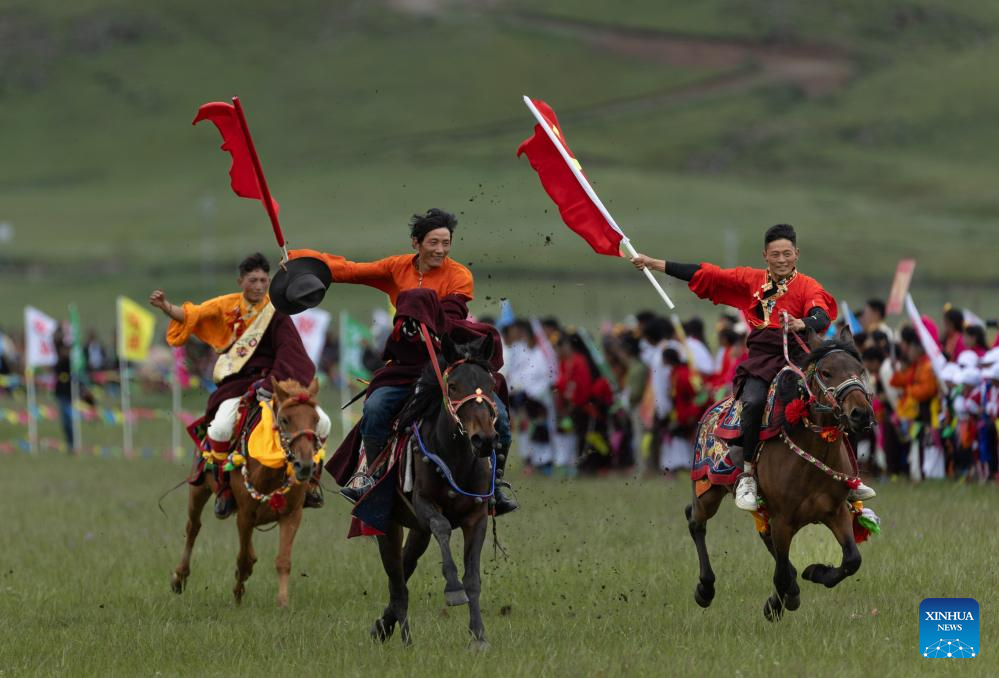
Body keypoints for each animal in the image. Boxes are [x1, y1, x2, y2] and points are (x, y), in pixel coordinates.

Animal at [169, 378, 320, 612]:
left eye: (316, 420)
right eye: (285, 420)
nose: (304, 466)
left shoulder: (292, 514)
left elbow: (282, 560)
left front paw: (283, 602)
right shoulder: (245, 515)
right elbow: (242, 559)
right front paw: (238, 596)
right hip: (199, 488)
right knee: (193, 527)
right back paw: (180, 577)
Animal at [368, 332, 500, 652]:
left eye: (491, 385)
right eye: (452, 386)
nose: (484, 439)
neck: (456, 458)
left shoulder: (477, 517)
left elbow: (473, 577)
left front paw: (479, 636)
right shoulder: (424, 505)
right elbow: (442, 527)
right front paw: (453, 589)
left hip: (417, 531)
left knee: (405, 567)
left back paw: (383, 626)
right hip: (389, 526)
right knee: (397, 581)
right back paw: (404, 638)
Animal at [688, 326, 876, 624]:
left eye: (859, 369)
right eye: (826, 372)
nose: (860, 413)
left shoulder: (835, 512)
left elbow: (851, 560)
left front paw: (815, 573)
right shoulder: (783, 520)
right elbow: (781, 574)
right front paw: (776, 605)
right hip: (707, 488)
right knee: (695, 522)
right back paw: (705, 589)